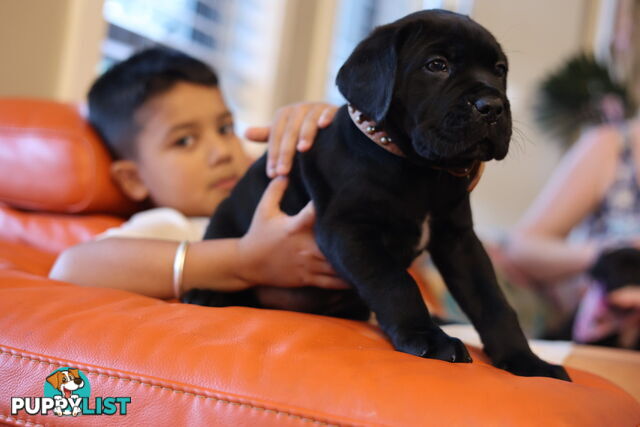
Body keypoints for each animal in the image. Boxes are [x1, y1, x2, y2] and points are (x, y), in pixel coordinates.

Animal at [182, 9, 568, 382]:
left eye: (499, 70)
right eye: (437, 65)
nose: (493, 105)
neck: (420, 169)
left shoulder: (459, 240)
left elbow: (493, 300)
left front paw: (526, 360)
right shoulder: (349, 230)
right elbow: (396, 283)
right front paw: (428, 338)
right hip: (226, 218)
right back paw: (206, 292)